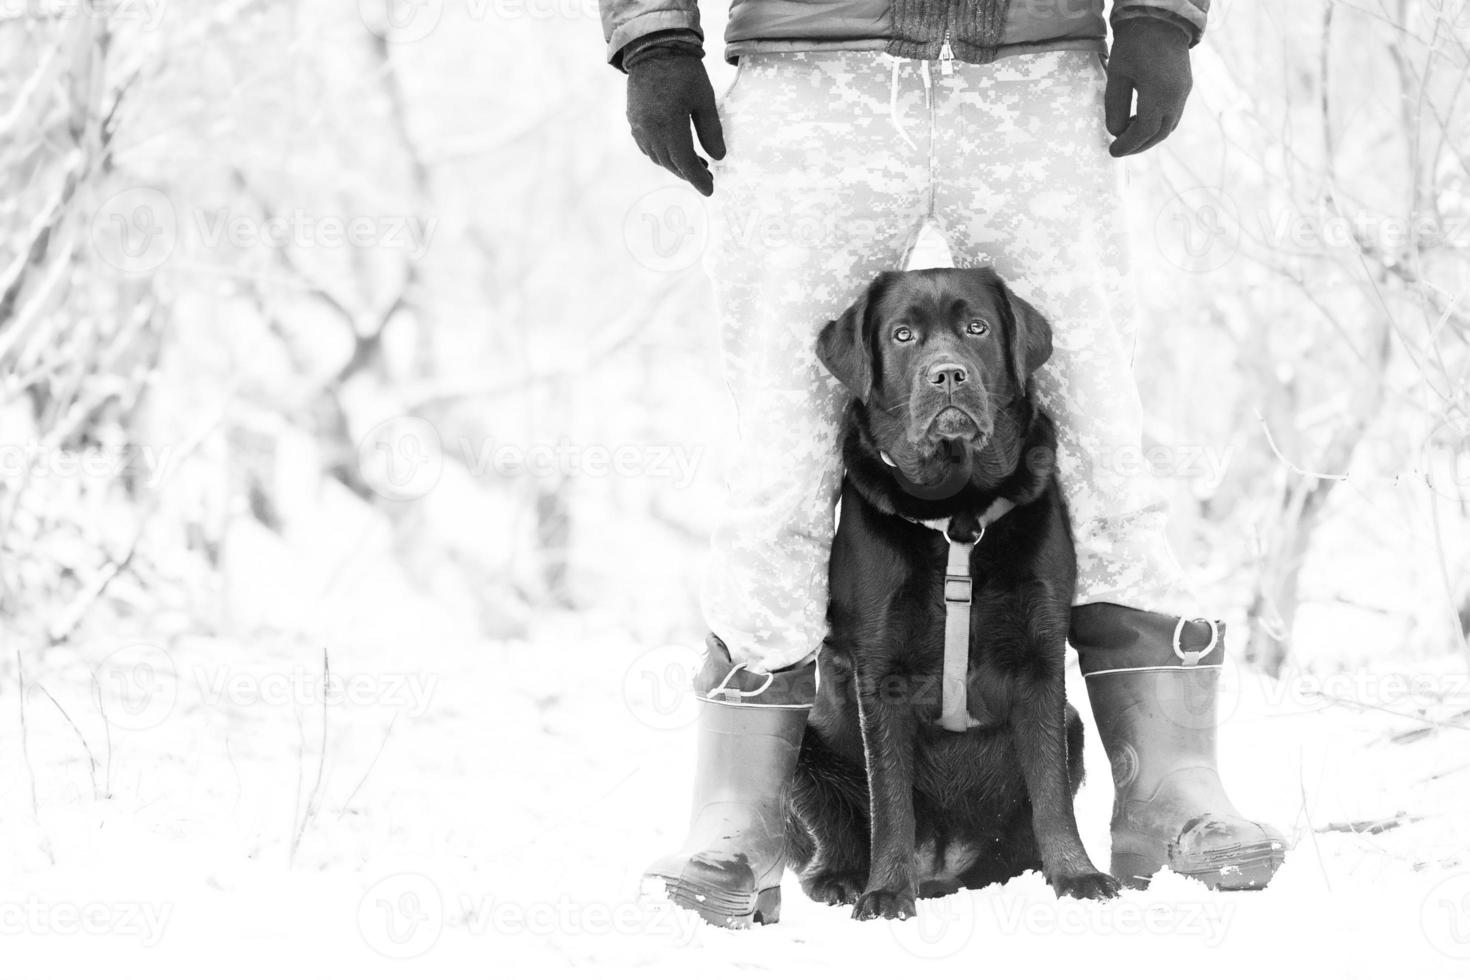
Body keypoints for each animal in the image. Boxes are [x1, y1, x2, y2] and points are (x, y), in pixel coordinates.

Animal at [793, 265, 1111, 922]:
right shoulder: (879, 673)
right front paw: (886, 892)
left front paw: (1077, 875)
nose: (947, 374)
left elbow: (1051, 793)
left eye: (977, 328)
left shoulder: (1042, 662)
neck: (958, 513)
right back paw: (842, 880)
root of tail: (943, 860)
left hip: (1073, 728)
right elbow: (889, 800)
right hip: (807, 753)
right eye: (903, 334)